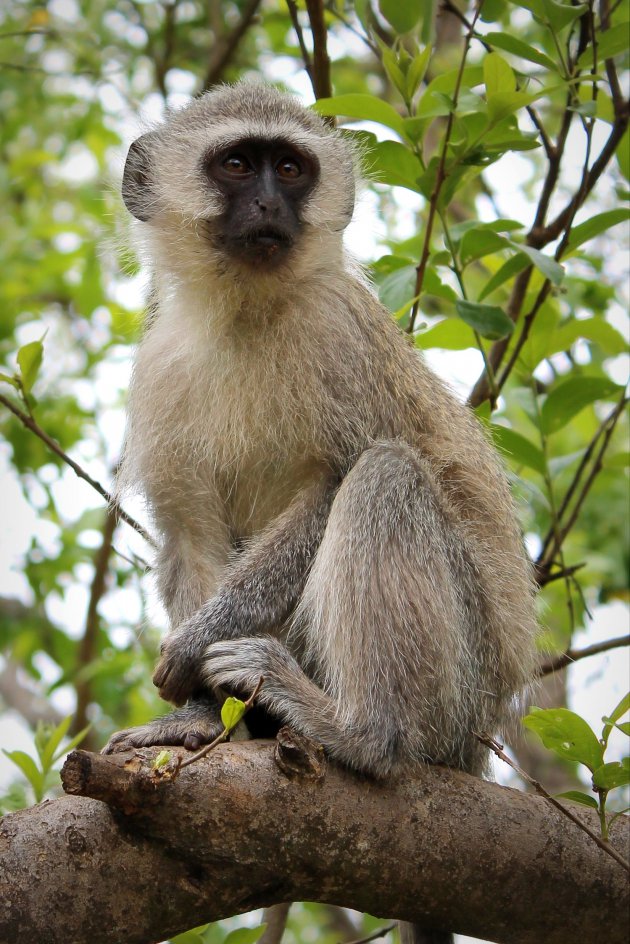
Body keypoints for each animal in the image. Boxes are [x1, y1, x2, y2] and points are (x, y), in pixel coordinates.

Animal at [103, 83, 540, 944]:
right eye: (240, 164)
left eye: (292, 168)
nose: (273, 203)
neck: (244, 311)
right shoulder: (162, 358)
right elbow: (189, 530)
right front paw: (196, 719)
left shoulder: (337, 330)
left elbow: (335, 482)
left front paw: (198, 645)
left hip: (460, 686)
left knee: (386, 479)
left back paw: (361, 734)